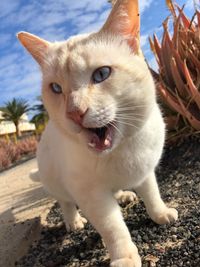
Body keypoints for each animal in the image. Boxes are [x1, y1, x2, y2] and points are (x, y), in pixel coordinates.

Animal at [16, 1, 177, 266]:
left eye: (101, 74)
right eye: (56, 88)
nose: (74, 113)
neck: (122, 151)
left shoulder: (145, 171)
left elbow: (152, 194)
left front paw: (160, 213)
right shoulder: (92, 196)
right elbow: (114, 228)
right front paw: (125, 257)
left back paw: (123, 194)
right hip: (57, 182)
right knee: (65, 202)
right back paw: (74, 221)